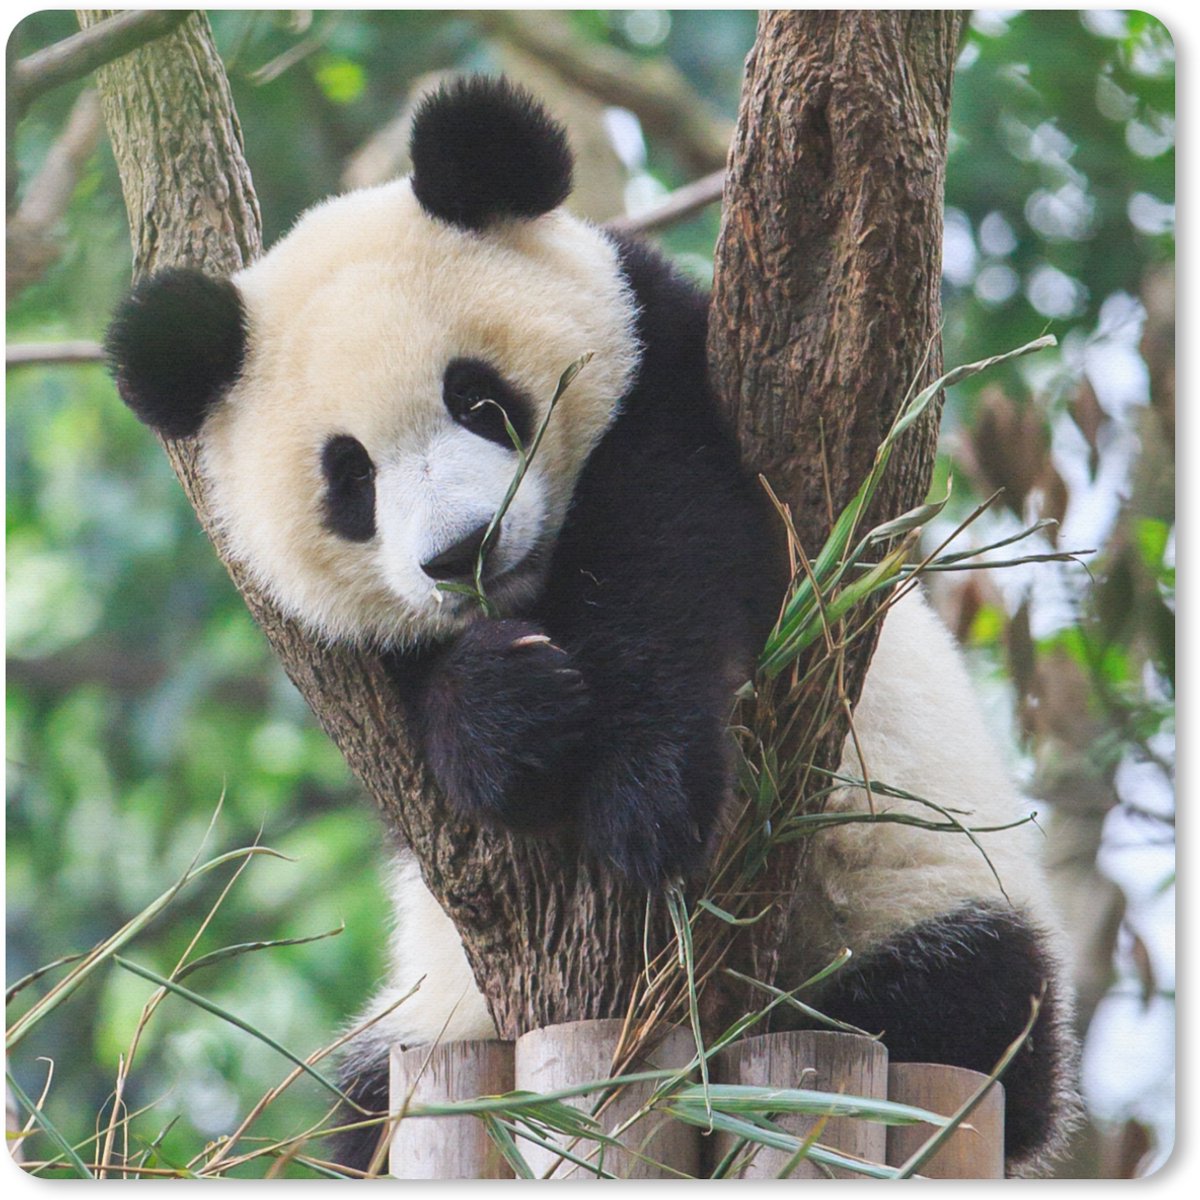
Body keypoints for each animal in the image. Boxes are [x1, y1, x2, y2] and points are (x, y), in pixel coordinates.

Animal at [106, 77, 1076, 1175]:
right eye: (349, 477)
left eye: (479, 398)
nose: (464, 552)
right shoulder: (341, 659)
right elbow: (406, 711)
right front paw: (506, 715)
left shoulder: (671, 375)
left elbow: (679, 551)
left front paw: (643, 796)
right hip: (427, 1023)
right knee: (360, 1110)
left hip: (915, 893)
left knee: (953, 1004)